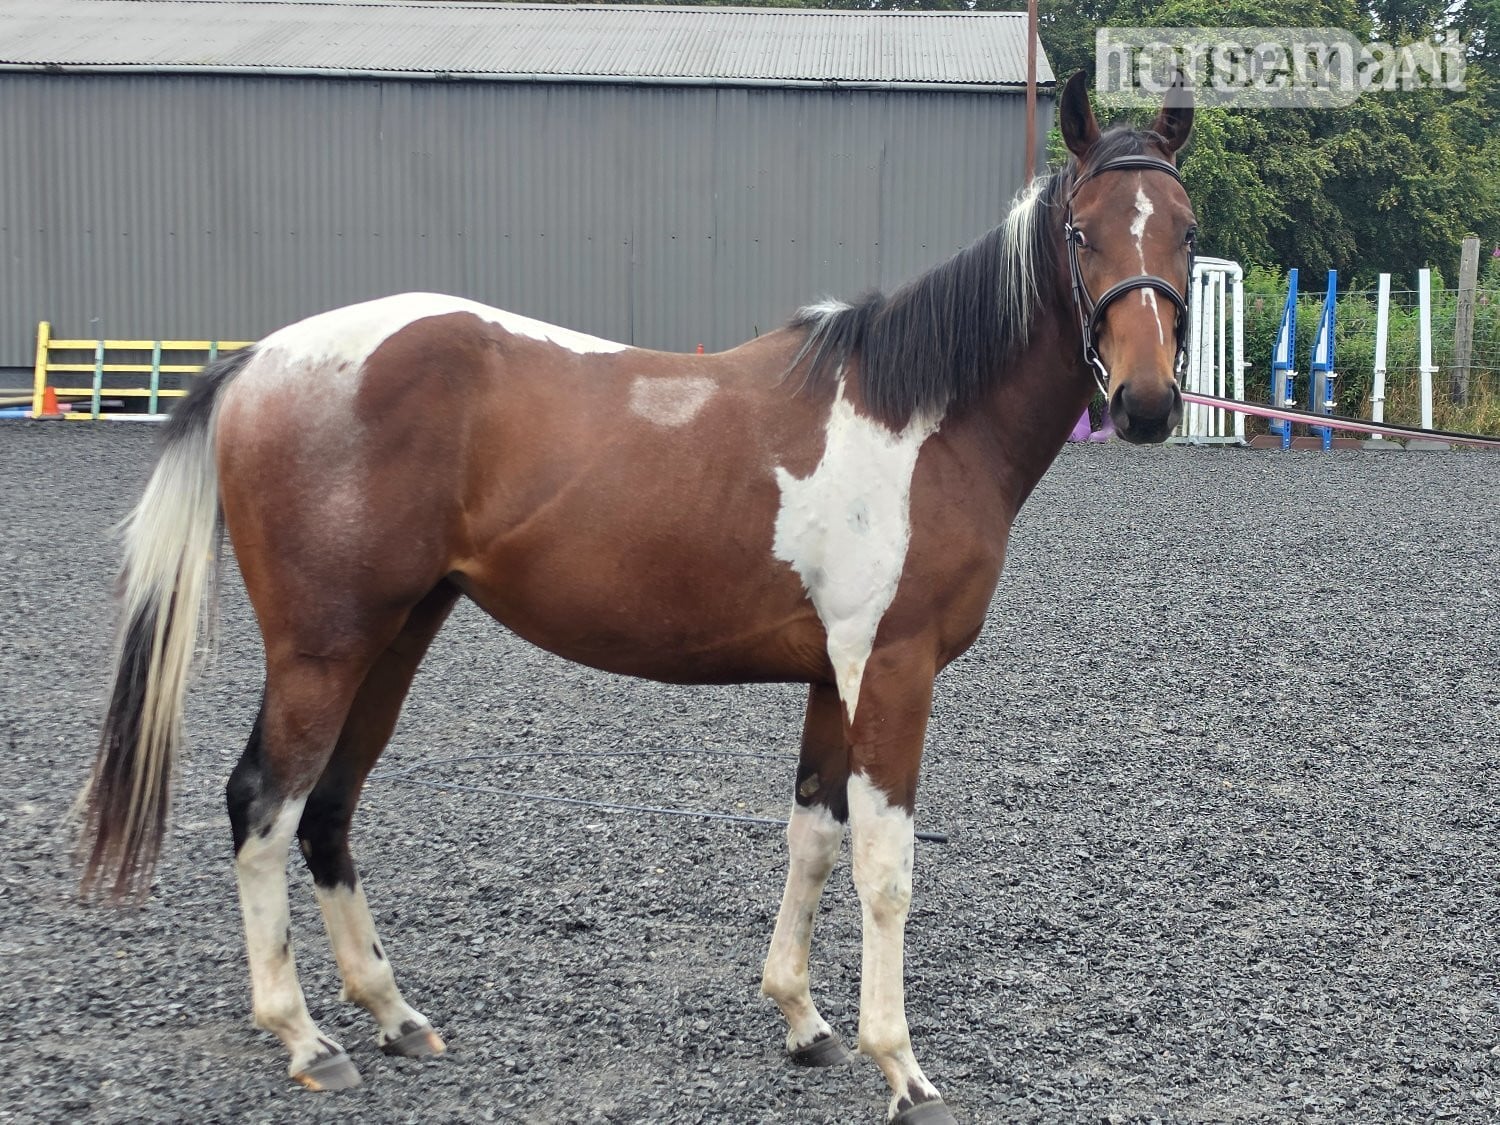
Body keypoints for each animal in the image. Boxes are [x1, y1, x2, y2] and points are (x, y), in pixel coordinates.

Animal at [78, 73, 1195, 1124]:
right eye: (1081, 231)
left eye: (1183, 230)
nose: (1145, 404)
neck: (917, 424)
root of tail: (259, 361)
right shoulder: (891, 670)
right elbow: (886, 868)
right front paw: (903, 1070)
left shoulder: (831, 679)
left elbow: (813, 837)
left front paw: (803, 1021)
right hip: (323, 650)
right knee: (265, 806)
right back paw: (306, 1038)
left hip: (393, 639)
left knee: (330, 809)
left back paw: (394, 1015)